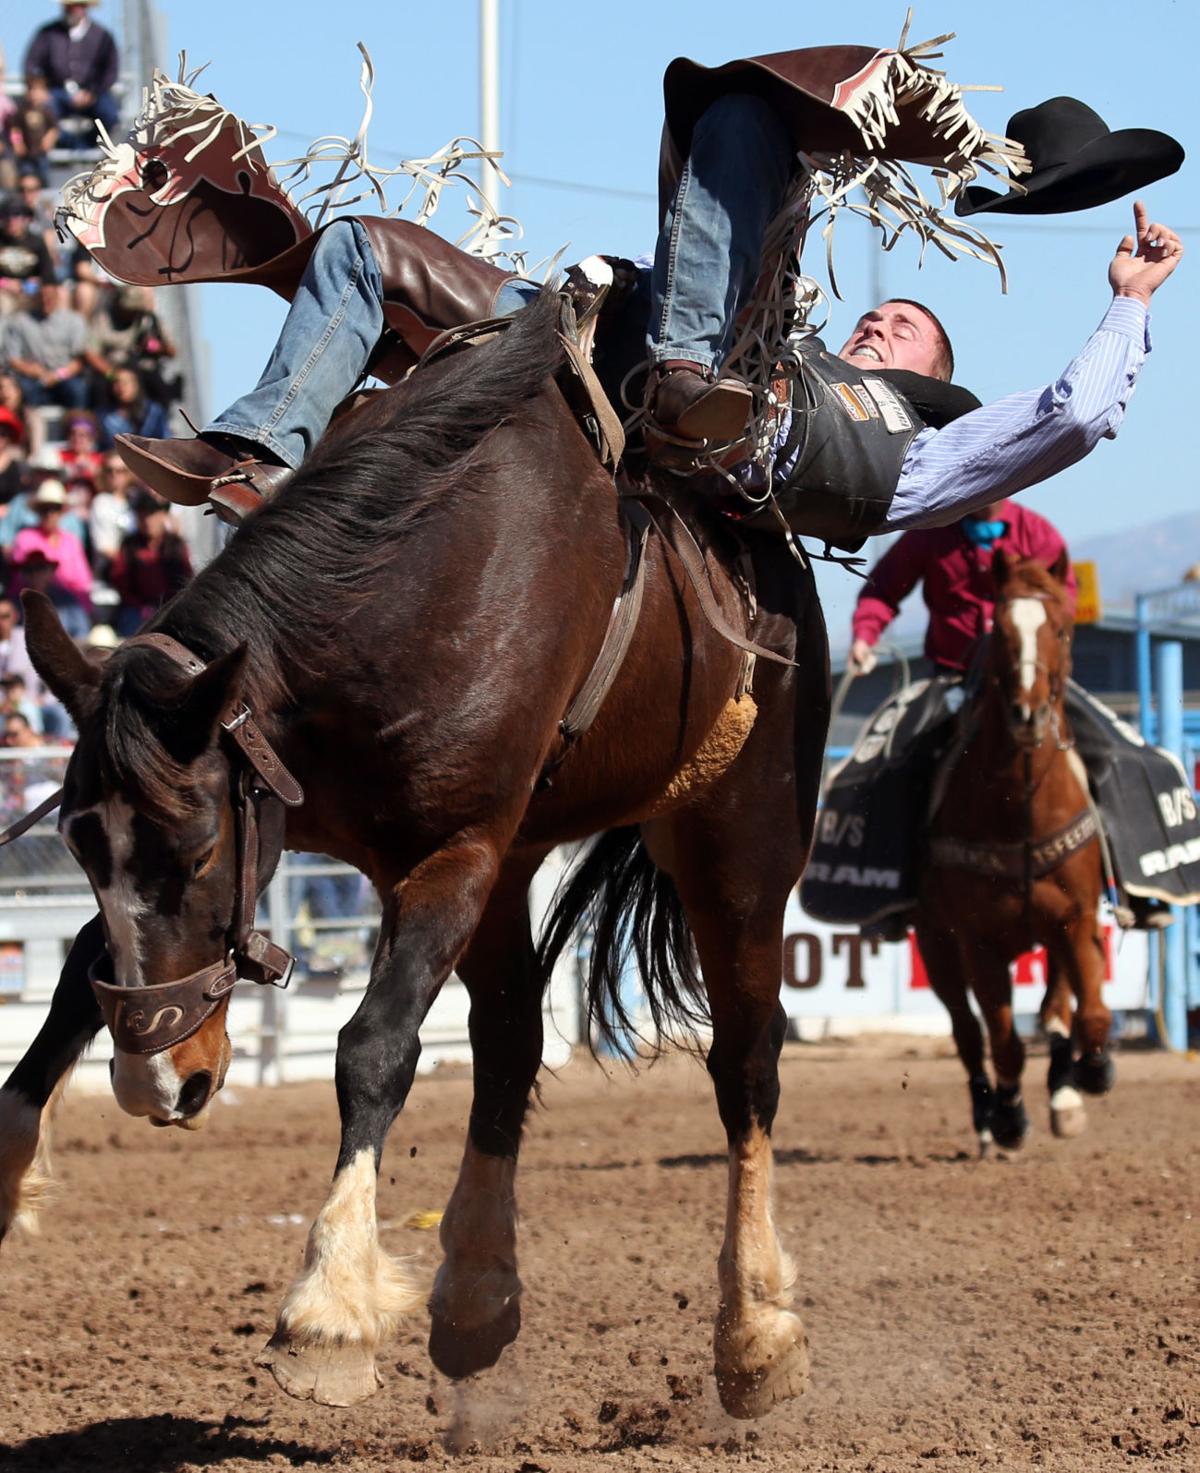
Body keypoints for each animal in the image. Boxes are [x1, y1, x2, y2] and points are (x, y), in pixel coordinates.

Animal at [0, 296, 824, 1414]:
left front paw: (329, 1310)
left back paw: (753, 1333)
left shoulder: (451, 855)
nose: (161, 1084)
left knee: (745, 1060)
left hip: (736, 844)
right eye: (76, 843)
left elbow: (373, 1047)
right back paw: (476, 1297)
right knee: (511, 1040)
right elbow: (74, 982)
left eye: (200, 847)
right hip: (521, 866)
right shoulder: (305, 815)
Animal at [912, 550, 1113, 1148]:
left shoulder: (1077, 918)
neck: (1019, 810)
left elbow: (1089, 1014)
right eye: (998, 632)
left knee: (1056, 1009)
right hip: (935, 944)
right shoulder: (976, 941)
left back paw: (1066, 1091)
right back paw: (988, 1116)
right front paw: (1008, 1116)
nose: (1029, 714)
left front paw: (1091, 1072)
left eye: (1063, 629)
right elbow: (1002, 1039)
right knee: (967, 1032)